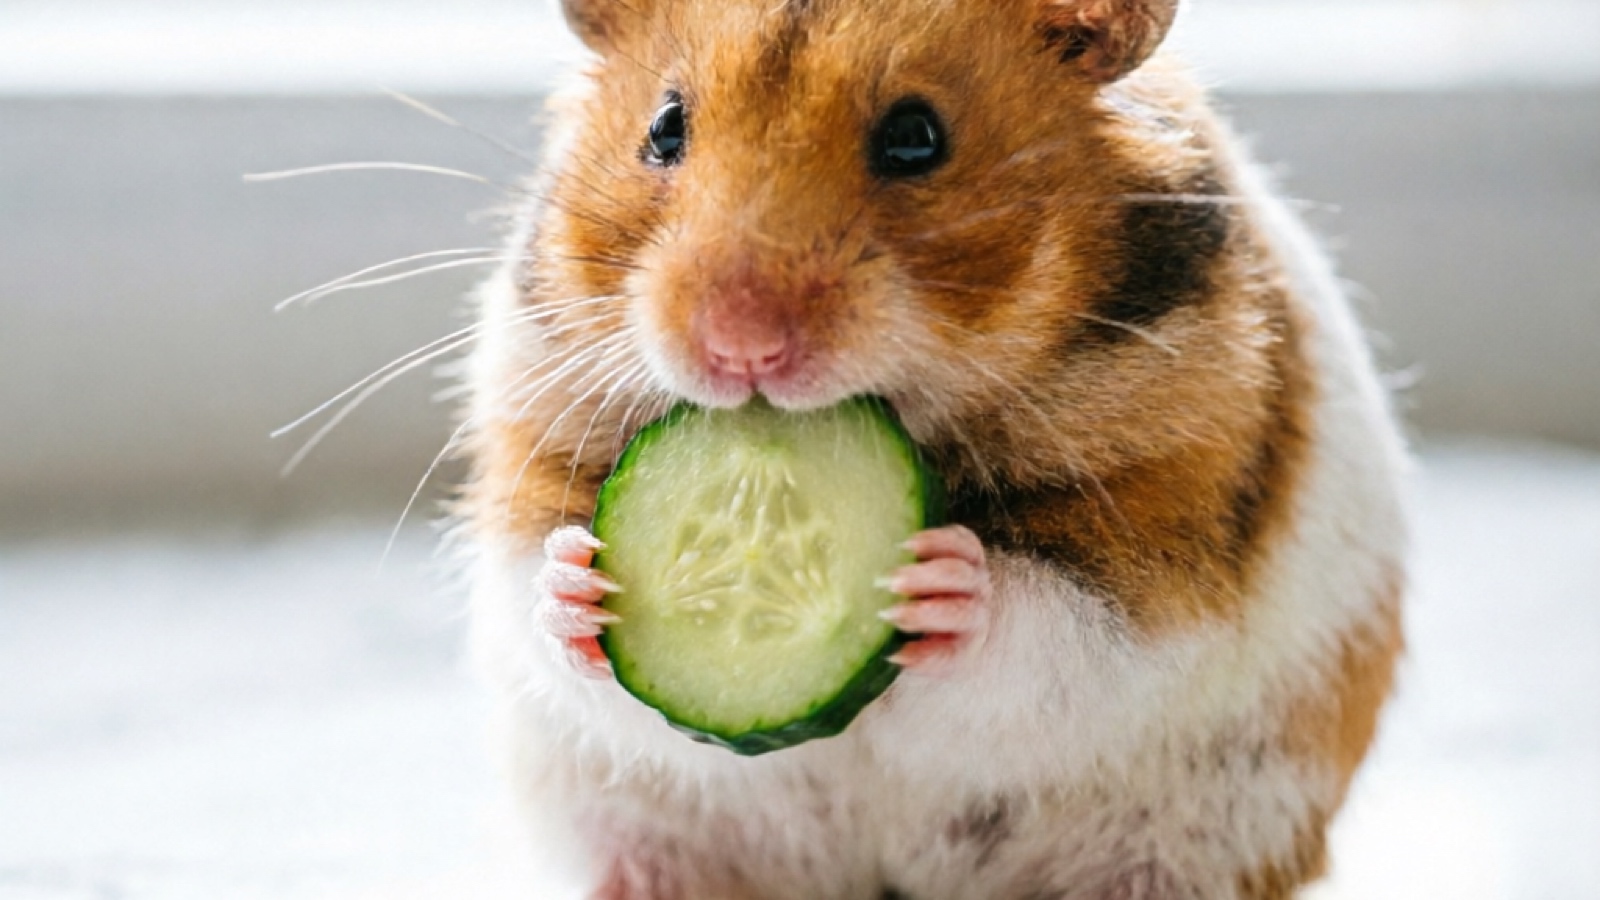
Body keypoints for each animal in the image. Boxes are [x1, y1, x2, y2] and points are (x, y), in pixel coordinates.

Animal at [458, 0, 1408, 897]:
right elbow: (530, 582)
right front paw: (579, 581)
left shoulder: (1168, 541)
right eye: (664, 128)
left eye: (916, 137)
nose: (739, 349)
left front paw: (940, 582)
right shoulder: (532, 433)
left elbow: (1063, 624)